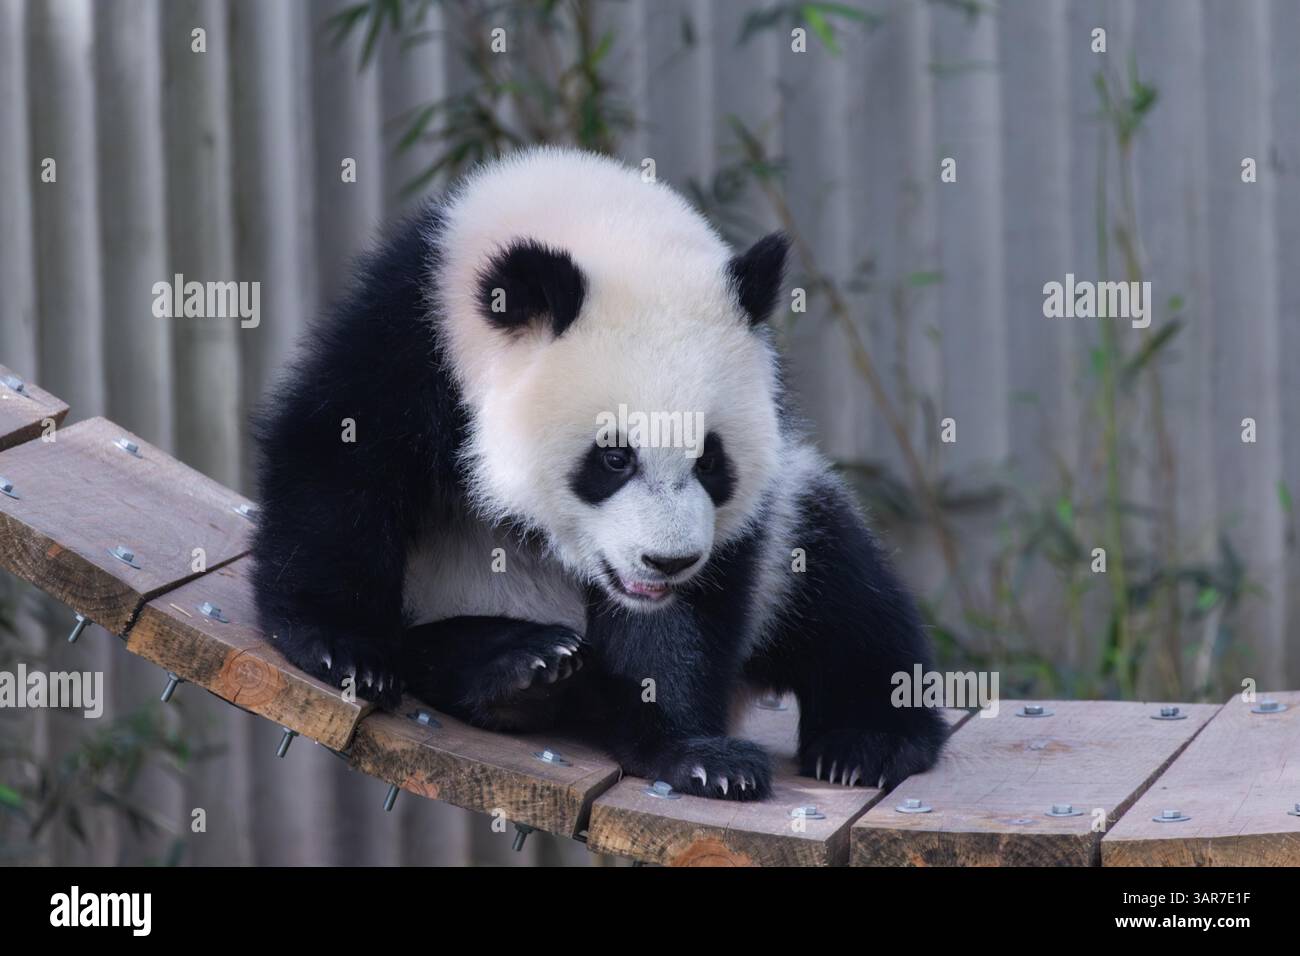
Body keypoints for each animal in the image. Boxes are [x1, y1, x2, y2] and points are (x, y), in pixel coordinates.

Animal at [251, 146, 947, 801]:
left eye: (710, 460)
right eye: (615, 457)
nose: (667, 562)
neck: (596, 219)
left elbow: (689, 612)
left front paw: (698, 757)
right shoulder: (414, 332)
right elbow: (341, 459)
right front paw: (344, 647)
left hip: (793, 535)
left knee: (845, 592)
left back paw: (867, 742)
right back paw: (519, 667)